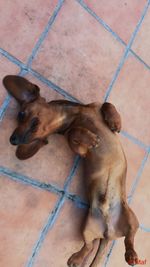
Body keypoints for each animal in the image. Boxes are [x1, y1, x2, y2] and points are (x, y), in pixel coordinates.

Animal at [2, 76, 139, 267]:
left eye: (21, 114)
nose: (12, 140)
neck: (73, 118)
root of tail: (108, 234)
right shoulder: (80, 149)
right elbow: (73, 133)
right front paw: (90, 137)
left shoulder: (95, 109)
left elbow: (107, 103)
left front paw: (115, 121)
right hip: (87, 227)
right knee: (90, 245)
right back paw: (78, 258)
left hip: (132, 218)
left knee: (130, 238)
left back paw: (131, 254)